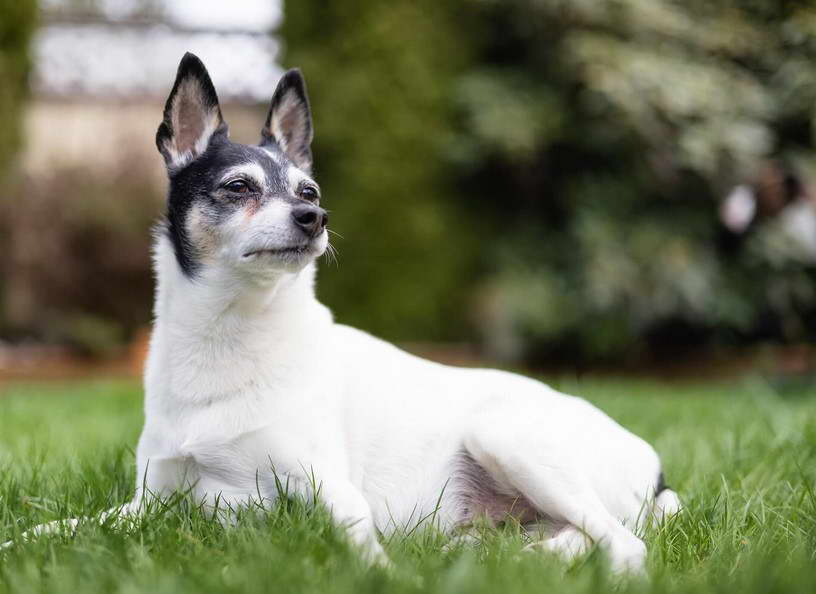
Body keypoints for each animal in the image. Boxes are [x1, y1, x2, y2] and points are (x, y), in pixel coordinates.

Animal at [4, 53, 684, 572]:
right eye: (239, 187)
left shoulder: (326, 491)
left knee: (622, 543)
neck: (232, 334)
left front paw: (381, 574)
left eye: (309, 192)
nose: (315, 218)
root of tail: (656, 470)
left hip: (507, 436)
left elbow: (360, 543)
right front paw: (19, 545)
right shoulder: (153, 503)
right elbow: (59, 528)